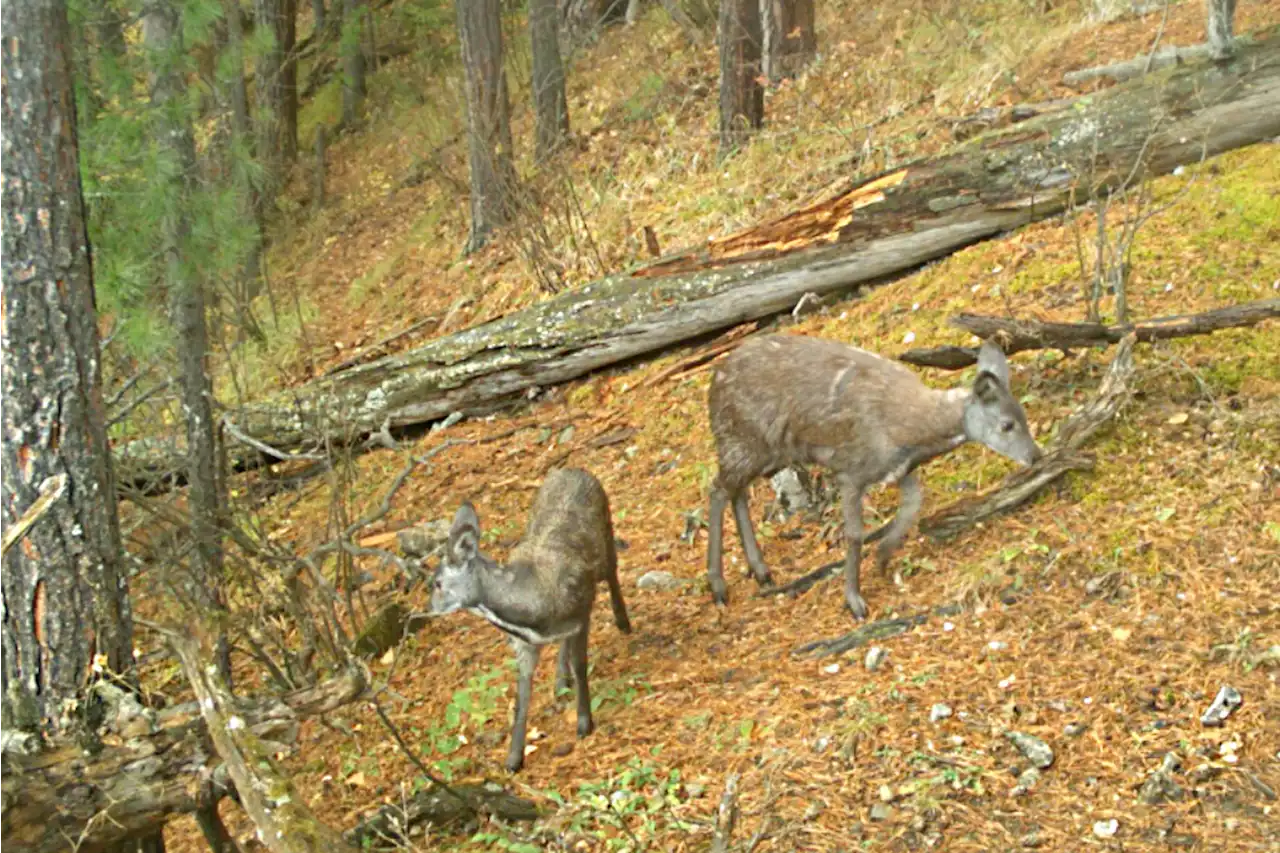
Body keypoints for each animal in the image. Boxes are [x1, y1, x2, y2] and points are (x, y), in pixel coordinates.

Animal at [430, 466, 629, 768]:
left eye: (438, 583)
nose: (429, 607)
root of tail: (575, 469)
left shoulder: (581, 611)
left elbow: (581, 665)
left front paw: (584, 724)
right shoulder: (523, 644)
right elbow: (521, 695)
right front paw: (514, 758)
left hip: (605, 529)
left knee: (612, 569)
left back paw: (623, 621)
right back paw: (560, 680)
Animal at [706, 333, 1044, 617]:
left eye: (1024, 417)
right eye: (1006, 425)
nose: (1036, 456)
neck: (909, 430)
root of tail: (713, 385)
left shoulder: (897, 470)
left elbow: (912, 505)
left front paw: (883, 557)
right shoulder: (850, 470)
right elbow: (855, 534)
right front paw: (855, 601)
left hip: (761, 452)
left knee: (736, 492)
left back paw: (761, 571)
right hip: (742, 440)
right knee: (717, 490)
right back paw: (719, 586)